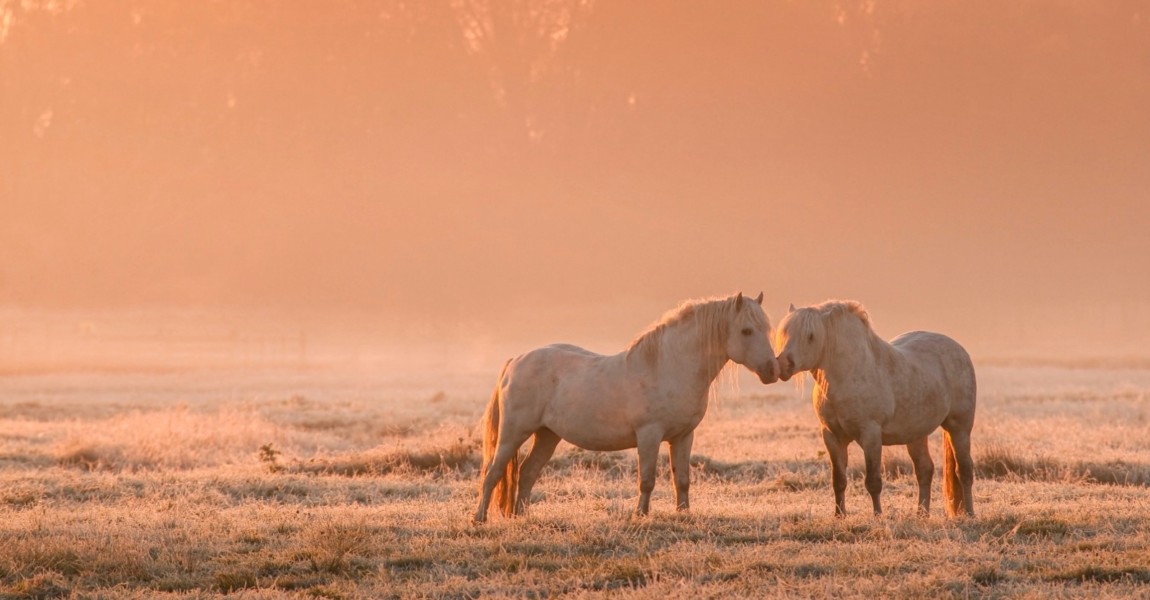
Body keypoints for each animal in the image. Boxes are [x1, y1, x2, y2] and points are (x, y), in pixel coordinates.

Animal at [471, 291, 777, 519]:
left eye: (767, 328)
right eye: (746, 331)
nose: (772, 371)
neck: (667, 366)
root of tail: (516, 361)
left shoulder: (683, 436)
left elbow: (682, 479)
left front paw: (683, 515)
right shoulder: (649, 435)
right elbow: (647, 478)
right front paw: (640, 515)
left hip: (547, 435)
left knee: (527, 472)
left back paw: (520, 517)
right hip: (513, 433)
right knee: (492, 473)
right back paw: (479, 519)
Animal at [772, 301, 979, 514]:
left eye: (811, 336)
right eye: (785, 332)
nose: (784, 364)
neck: (846, 374)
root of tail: (958, 349)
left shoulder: (870, 435)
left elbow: (873, 481)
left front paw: (877, 514)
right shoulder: (831, 436)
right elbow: (838, 480)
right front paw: (839, 515)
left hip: (959, 428)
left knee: (964, 470)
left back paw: (969, 513)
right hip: (916, 434)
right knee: (924, 470)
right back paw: (922, 514)